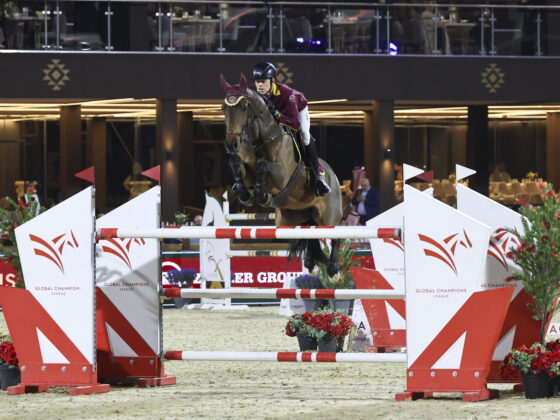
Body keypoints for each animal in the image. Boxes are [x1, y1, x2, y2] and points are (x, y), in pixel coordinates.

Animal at [218, 73, 342, 276]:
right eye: (223, 108)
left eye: (244, 107)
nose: (231, 144)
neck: (260, 139)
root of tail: (334, 176)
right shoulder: (247, 172)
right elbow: (237, 165)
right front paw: (245, 193)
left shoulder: (282, 175)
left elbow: (263, 166)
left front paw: (262, 195)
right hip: (289, 220)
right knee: (311, 235)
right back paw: (311, 262)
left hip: (329, 216)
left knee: (334, 235)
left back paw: (333, 268)